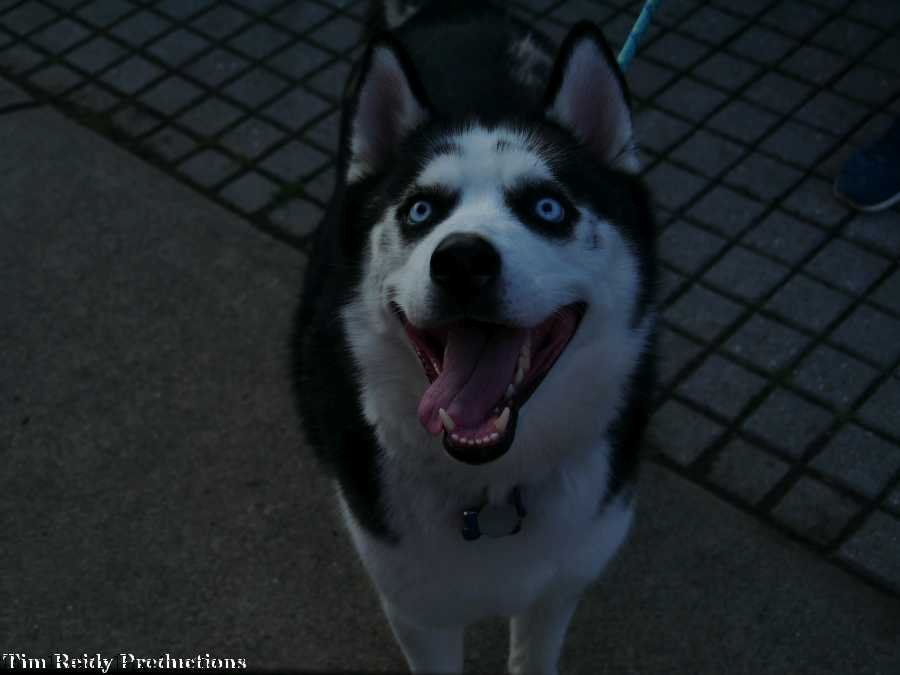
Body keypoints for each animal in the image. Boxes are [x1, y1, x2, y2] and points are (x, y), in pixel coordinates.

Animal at [294, 1, 657, 672]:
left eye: (547, 207)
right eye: (419, 210)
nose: (462, 260)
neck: (493, 491)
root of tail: (456, 10)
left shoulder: (559, 586)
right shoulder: (416, 607)